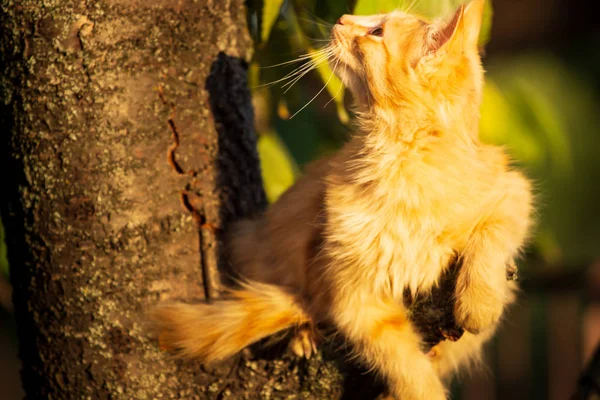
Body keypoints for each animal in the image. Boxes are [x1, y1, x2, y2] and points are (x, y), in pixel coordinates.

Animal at [151, 1, 536, 398]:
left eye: (377, 32)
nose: (341, 19)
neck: (400, 165)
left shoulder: (513, 191)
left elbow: (490, 240)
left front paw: (479, 305)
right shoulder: (353, 295)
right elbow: (404, 363)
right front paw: (419, 389)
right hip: (257, 243)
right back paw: (304, 336)